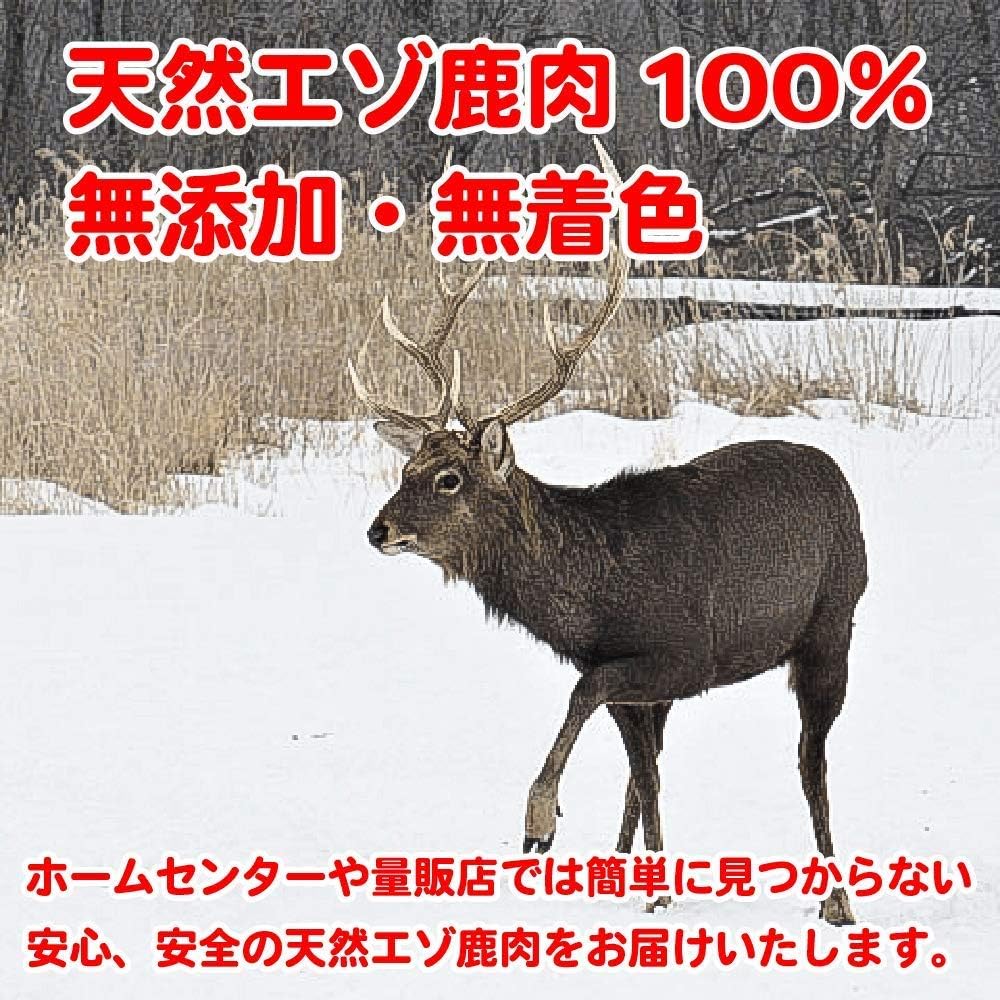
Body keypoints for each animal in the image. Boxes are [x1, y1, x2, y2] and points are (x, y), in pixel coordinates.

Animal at [348, 154, 868, 927]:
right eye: (405, 467)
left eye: (448, 479)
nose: (380, 529)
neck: (595, 596)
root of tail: (843, 484)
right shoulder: (636, 683)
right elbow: (641, 773)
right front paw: (644, 882)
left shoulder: (681, 655)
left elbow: (586, 699)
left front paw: (540, 822)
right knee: (667, 769)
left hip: (831, 625)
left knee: (812, 760)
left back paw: (837, 899)